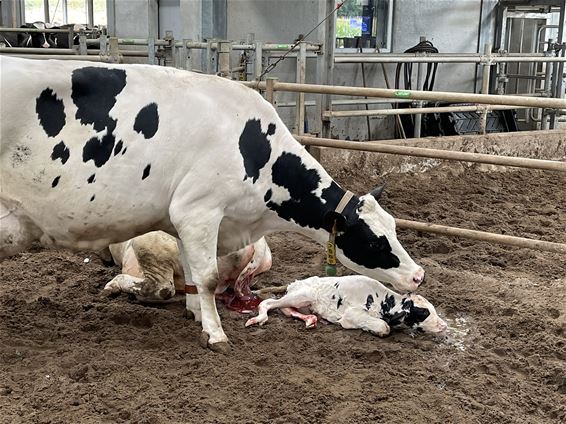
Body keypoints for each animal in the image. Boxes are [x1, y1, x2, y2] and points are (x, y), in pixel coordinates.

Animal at [0, 57, 426, 352]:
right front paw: (216, 333)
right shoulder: (199, 210)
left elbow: (191, 271)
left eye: (394, 227)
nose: (419, 275)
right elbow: (205, 276)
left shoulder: (181, 217)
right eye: (373, 241)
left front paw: (194, 314)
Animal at [246, 274, 450, 338]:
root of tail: (294, 282)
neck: (383, 301)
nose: (444, 325)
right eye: (423, 312)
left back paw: (311, 319)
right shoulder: (351, 314)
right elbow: (383, 327)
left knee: (287, 310)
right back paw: (258, 318)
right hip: (302, 295)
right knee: (268, 303)